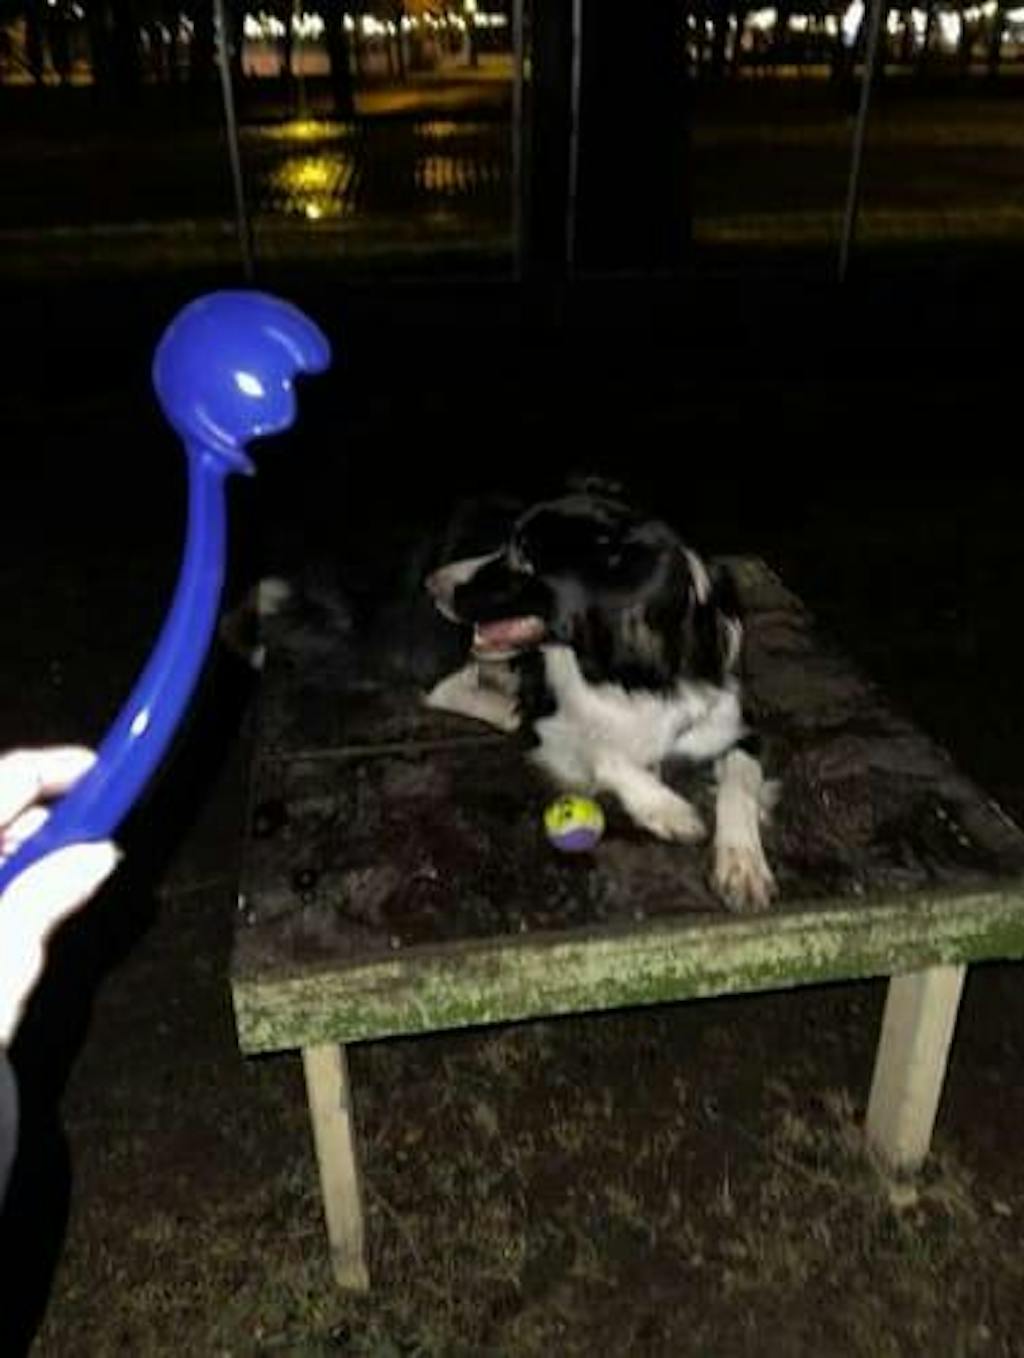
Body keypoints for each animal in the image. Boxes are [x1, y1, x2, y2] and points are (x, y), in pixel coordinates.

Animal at [423, 489, 777, 913]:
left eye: (524, 558)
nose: (432, 584)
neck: (625, 676)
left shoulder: (738, 721)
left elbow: (739, 785)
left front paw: (742, 864)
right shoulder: (546, 717)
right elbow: (601, 749)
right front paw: (666, 808)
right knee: (447, 690)